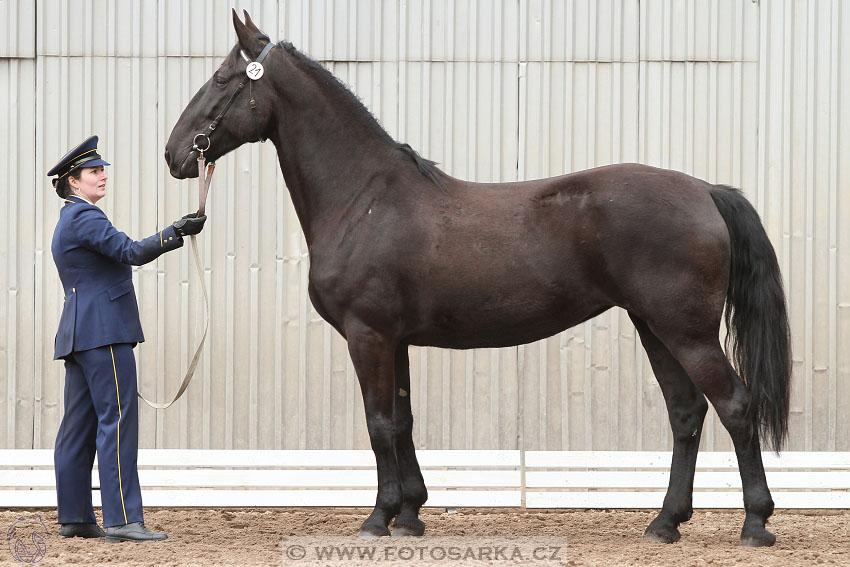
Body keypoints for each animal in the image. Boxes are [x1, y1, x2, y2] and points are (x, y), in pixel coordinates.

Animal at [166, 11, 788, 548]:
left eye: (220, 79)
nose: (174, 154)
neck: (363, 198)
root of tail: (705, 190)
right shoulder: (396, 342)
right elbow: (403, 420)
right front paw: (410, 515)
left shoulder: (368, 336)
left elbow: (378, 423)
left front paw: (378, 518)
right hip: (655, 328)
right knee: (686, 413)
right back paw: (664, 523)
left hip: (686, 332)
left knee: (735, 405)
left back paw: (755, 523)